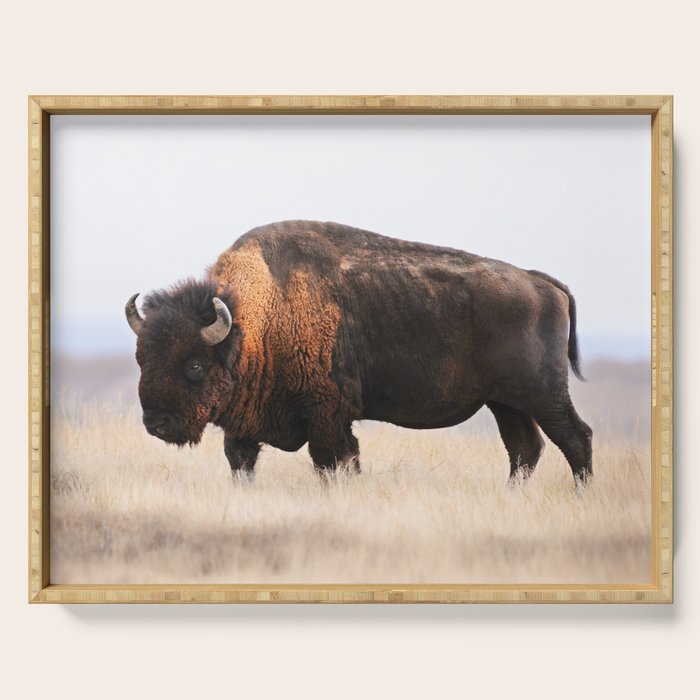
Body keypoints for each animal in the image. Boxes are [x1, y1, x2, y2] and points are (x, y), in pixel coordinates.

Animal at [126, 220, 592, 487]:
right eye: (141, 359)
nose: (155, 422)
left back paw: (581, 495)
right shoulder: (244, 427)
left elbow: (335, 461)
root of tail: (540, 281)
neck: (257, 317)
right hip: (505, 403)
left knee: (575, 437)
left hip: (542, 394)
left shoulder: (328, 416)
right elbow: (241, 462)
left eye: (194, 364)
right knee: (524, 449)